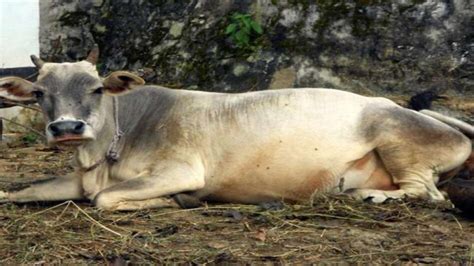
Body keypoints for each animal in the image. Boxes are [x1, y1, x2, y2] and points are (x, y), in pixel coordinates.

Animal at [0, 46, 472, 211]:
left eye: (97, 89)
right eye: (40, 93)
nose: (67, 127)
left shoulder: (180, 170)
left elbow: (105, 199)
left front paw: (175, 202)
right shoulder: (79, 178)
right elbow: (25, 191)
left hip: (396, 138)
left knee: (430, 194)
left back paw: (370, 196)